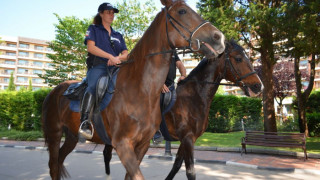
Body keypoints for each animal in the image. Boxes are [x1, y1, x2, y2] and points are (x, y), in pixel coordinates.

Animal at [40, 0, 225, 180]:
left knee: (59, 161)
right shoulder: (123, 144)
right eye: (182, 11)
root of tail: (54, 92)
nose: (219, 37)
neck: (141, 90)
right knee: (53, 166)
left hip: (71, 136)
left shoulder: (143, 145)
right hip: (55, 134)